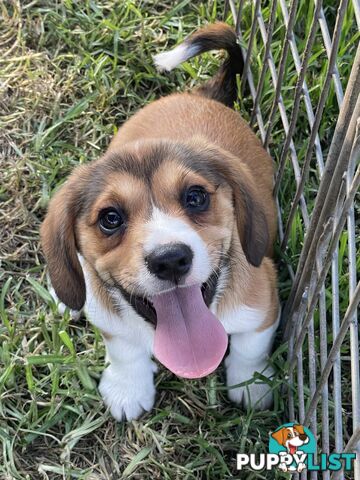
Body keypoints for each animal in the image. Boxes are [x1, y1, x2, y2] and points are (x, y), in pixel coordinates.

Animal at [40, 22, 280, 420]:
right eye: (110, 218)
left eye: (195, 197)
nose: (170, 260)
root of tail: (202, 95)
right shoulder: (112, 324)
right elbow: (125, 351)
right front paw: (127, 388)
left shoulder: (262, 306)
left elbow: (251, 349)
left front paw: (252, 384)